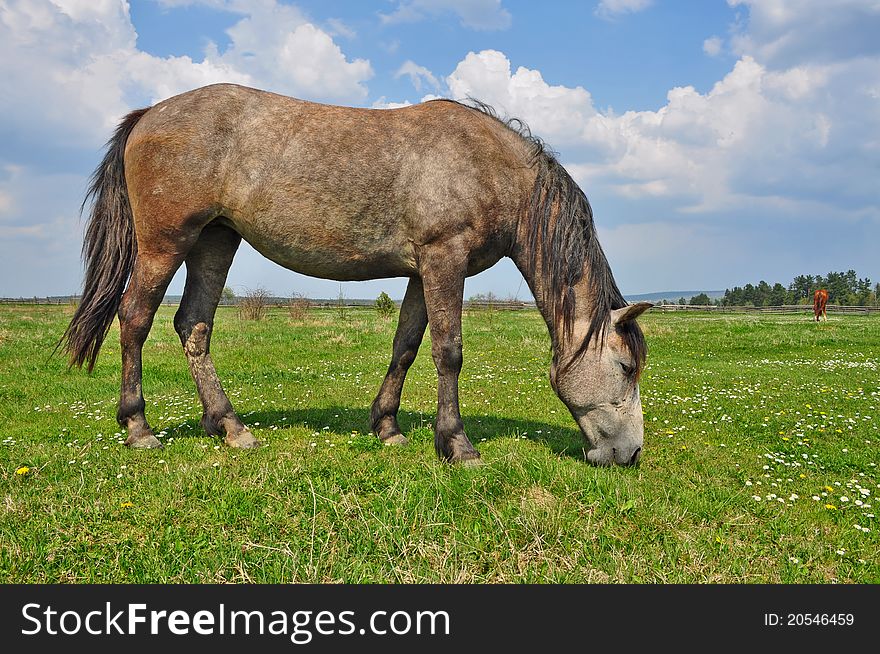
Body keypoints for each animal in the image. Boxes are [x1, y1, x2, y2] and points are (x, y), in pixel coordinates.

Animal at [62, 84, 648, 468]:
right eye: (625, 367)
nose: (629, 453)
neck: (488, 165)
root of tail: (150, 114)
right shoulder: (444, 259)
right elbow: (448, 351)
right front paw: (456, 444)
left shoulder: (422, 271)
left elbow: (406, 346)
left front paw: (387, 428)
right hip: (166, 242)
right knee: (135, 319)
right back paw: (139, 428)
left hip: (214, 241)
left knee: (193, 325)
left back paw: (229, 427)